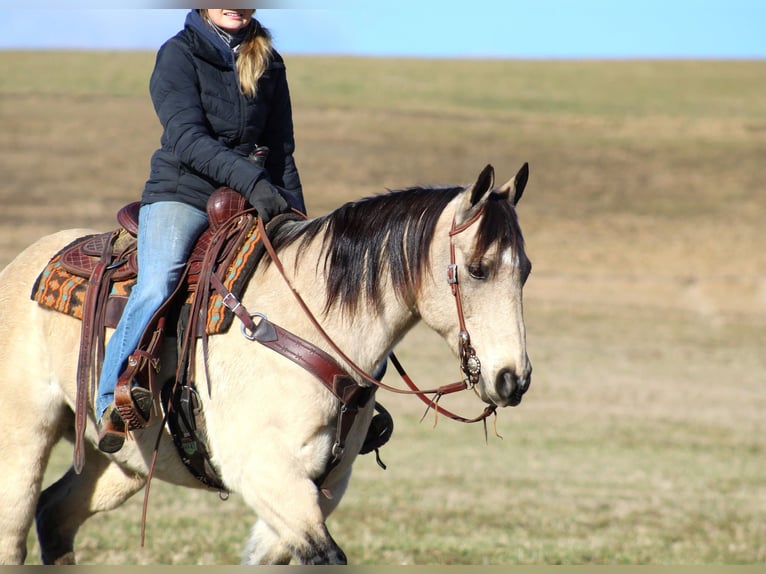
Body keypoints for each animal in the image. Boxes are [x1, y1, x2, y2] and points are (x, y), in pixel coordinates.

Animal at [0, 163, 536, 568]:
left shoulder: (323, 486)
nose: (513, 379)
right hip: (24, 440)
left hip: (121, 462)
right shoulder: (263, 471)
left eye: (525, 270)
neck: (309, 324)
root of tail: (25, 264)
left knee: (55, 515)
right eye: (477, 269)